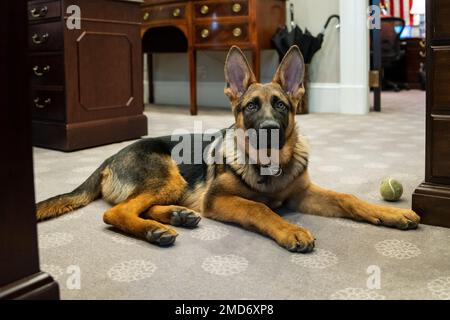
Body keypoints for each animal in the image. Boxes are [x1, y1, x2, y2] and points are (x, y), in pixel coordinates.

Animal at [37, 46, 420, 254]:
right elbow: (260, 209)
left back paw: (176, 216)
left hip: (172, 186)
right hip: (169, 176)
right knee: (116, 213)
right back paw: (156, 230)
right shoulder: (219, 200)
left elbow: (347, 198)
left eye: (280, 106)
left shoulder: (302, 194)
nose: (268, 131)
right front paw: (290, 229)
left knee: (139, 207)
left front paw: (390, 213)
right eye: (250, 107)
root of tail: (109, 156)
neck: (269, 169)